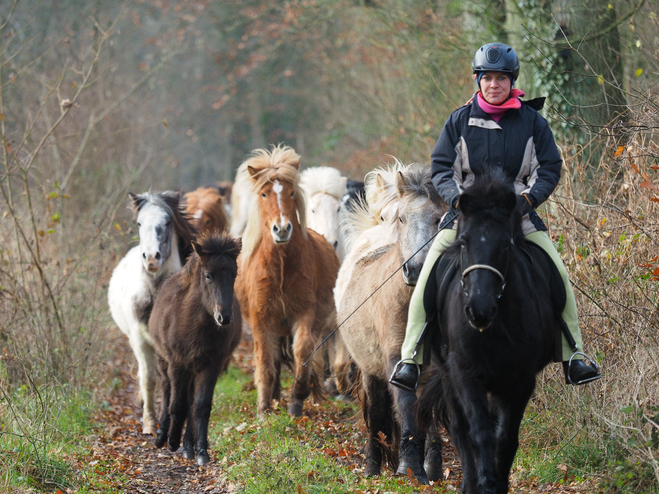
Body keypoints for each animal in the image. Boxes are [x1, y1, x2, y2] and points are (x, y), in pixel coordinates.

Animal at [108, 191, 195, 434]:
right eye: (139, 223)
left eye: (167, 222)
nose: (151, 258)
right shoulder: (140, 340)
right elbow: (148, 378)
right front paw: (149, 422)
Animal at [148, 232, 241, 464]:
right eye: (208, 276)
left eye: (234, 275)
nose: (225, 317)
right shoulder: (177, 364)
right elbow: (177, 404)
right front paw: (172, 441)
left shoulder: (211, 366)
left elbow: (201, 406)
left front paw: (201, 451)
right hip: (164, 361)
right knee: (167, 390)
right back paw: (161, 435)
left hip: (194, 369)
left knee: (191, 402)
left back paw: (189, 448)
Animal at [420, 174, 560, 494]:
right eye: (463, 242)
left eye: (506, 244)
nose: (478, 310)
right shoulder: (465, 374)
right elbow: (479, 434)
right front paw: (483, 483)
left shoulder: (520, 380)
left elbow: (505, 440)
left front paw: (498, 484)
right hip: (448, 377)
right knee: (460, 431)